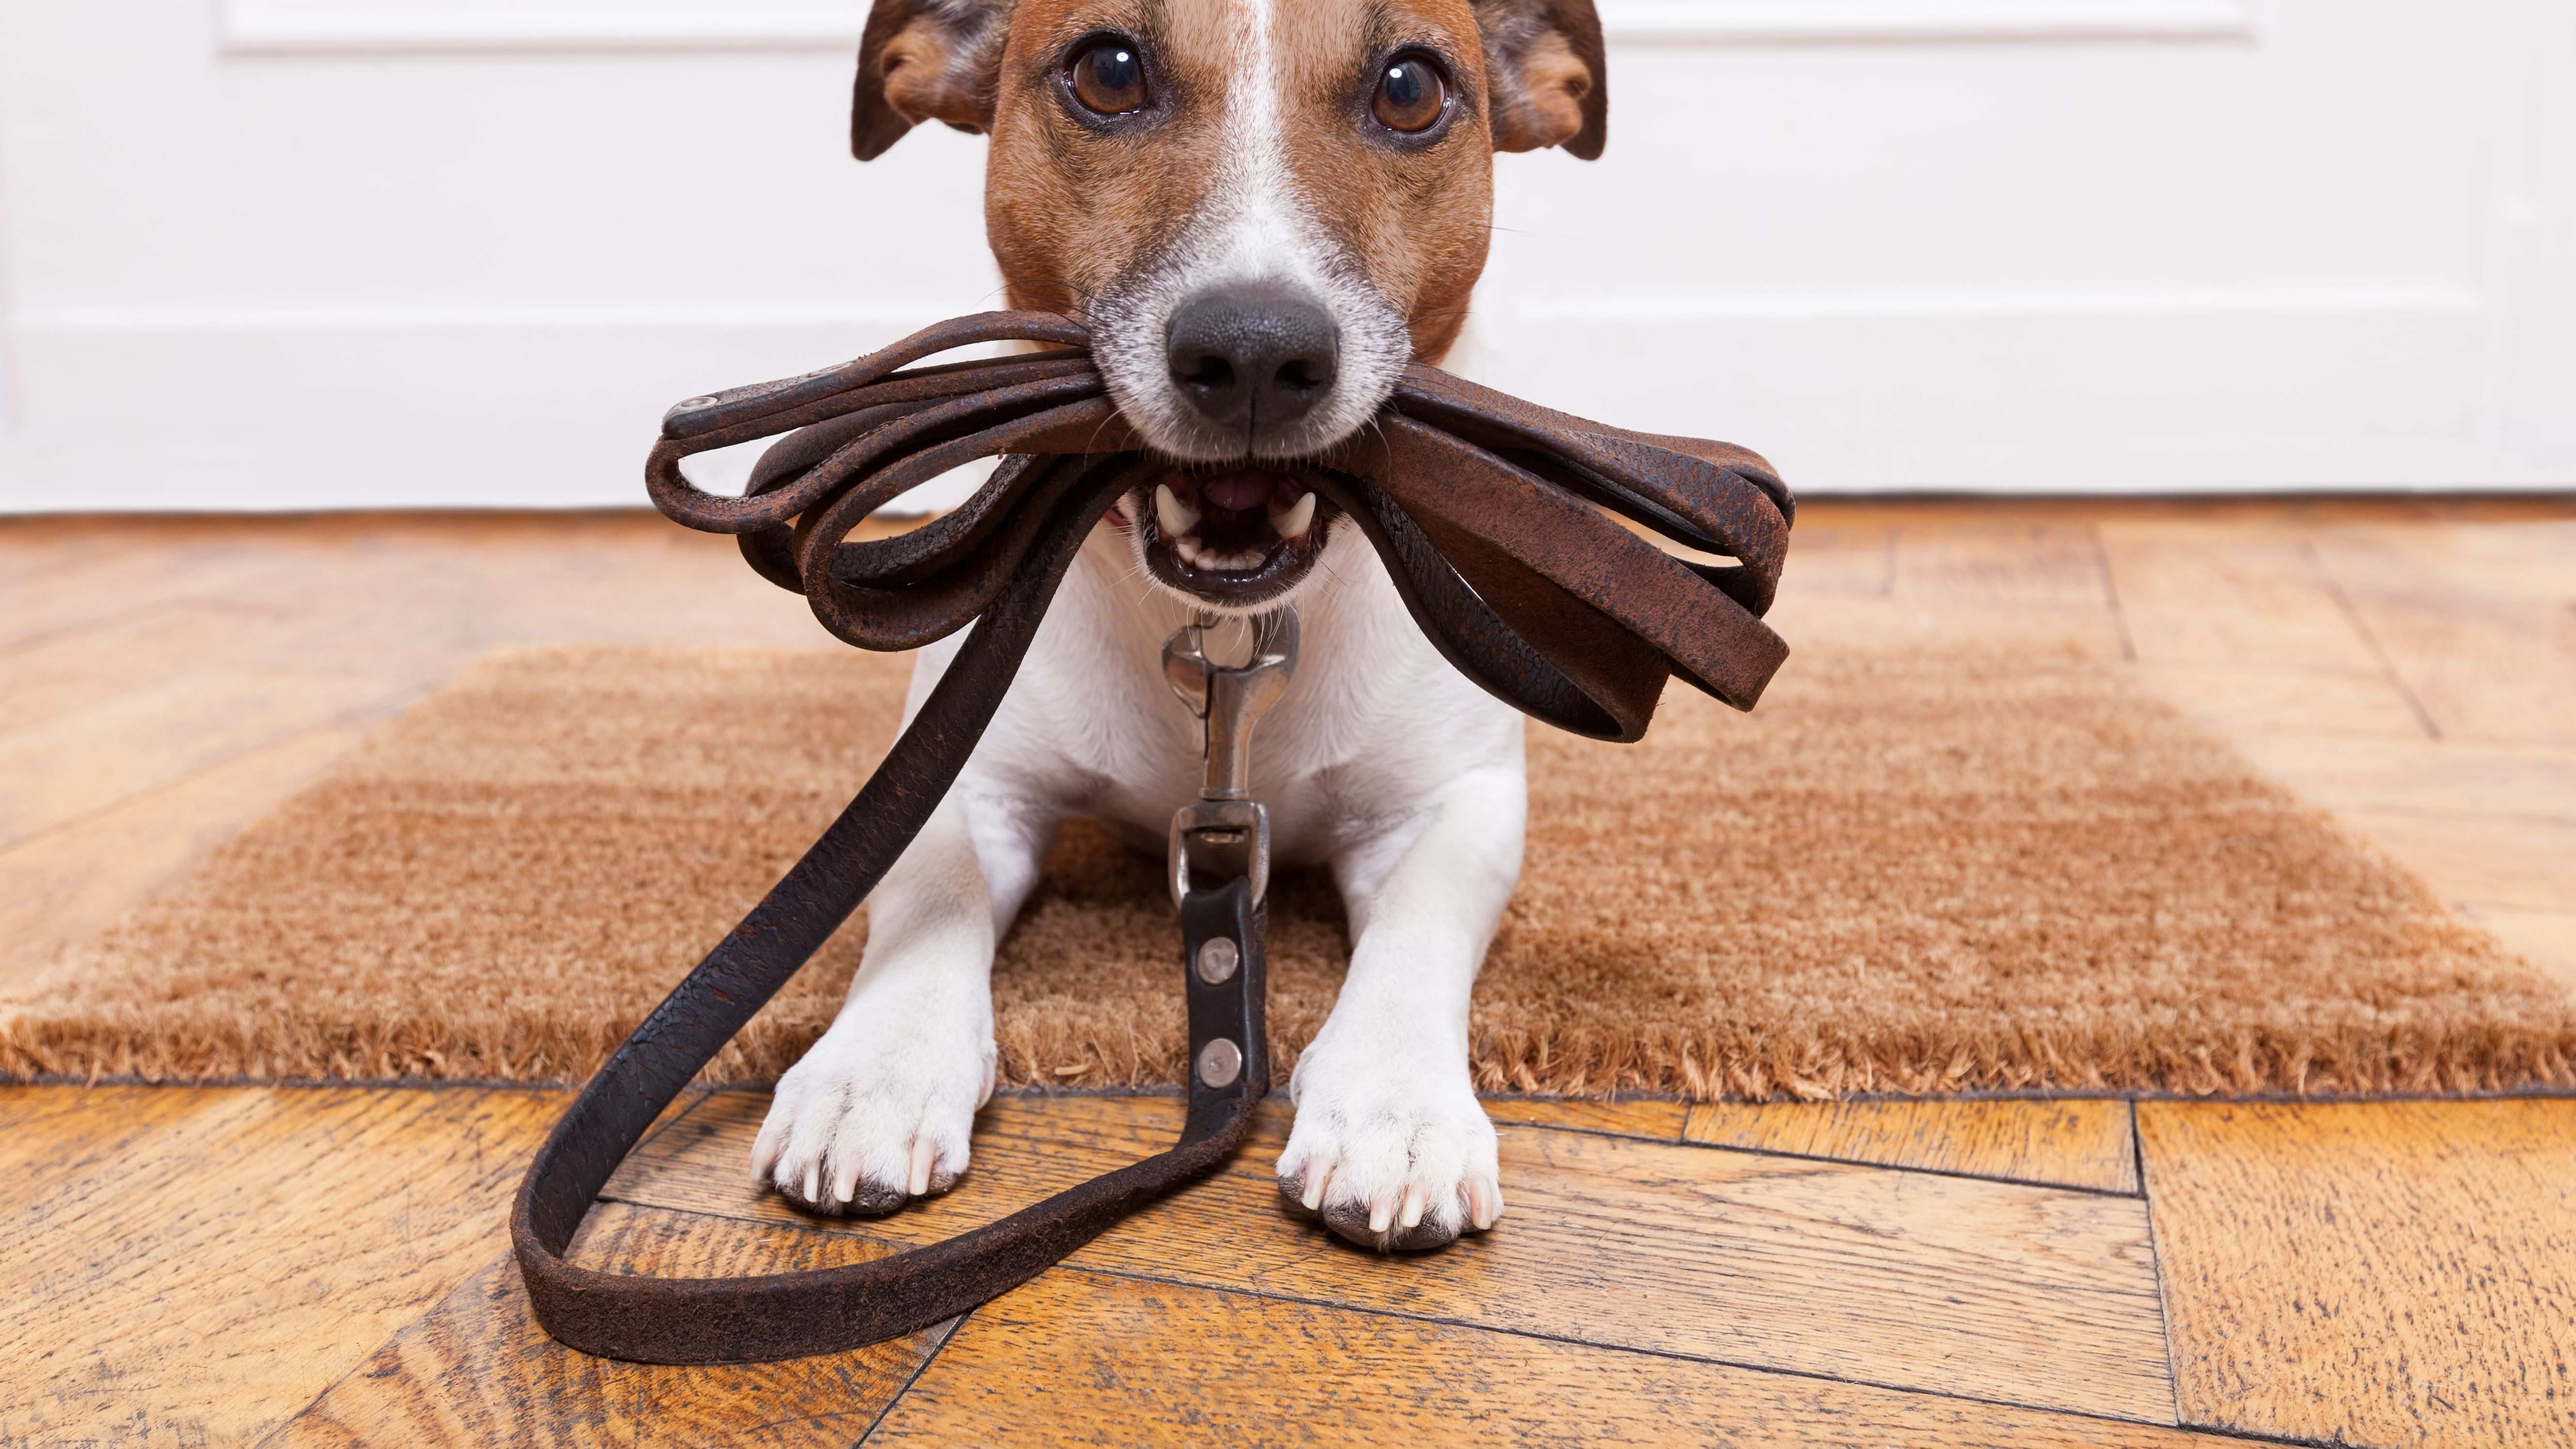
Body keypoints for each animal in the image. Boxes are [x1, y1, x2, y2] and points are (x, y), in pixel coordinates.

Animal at [742, 0, 1607, 1251]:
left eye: (1409, 88)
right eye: (1108, 71)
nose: (1253, 351)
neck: (1224, 633)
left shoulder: (1456, 803)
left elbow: (1419, 930)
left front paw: (1393, 1106)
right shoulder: (965, 773)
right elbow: (927, 890)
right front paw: (875, 1070)